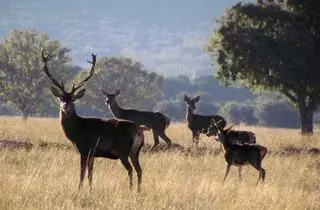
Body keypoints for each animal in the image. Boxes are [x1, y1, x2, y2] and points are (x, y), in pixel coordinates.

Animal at [41, 48, 148, 192]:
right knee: (139, 170)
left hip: (123, 149)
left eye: (73, 99)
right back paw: (138, 191)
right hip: (135, 152)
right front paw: (91, 189)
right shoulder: (93, 153)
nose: (66, 107)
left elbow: (82, 172)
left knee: (130, 169)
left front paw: (79, 190)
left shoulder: (85, 149)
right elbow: (90, 173)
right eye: (61, 98)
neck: (76, 131)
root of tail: (138, 131)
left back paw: (130, 190)